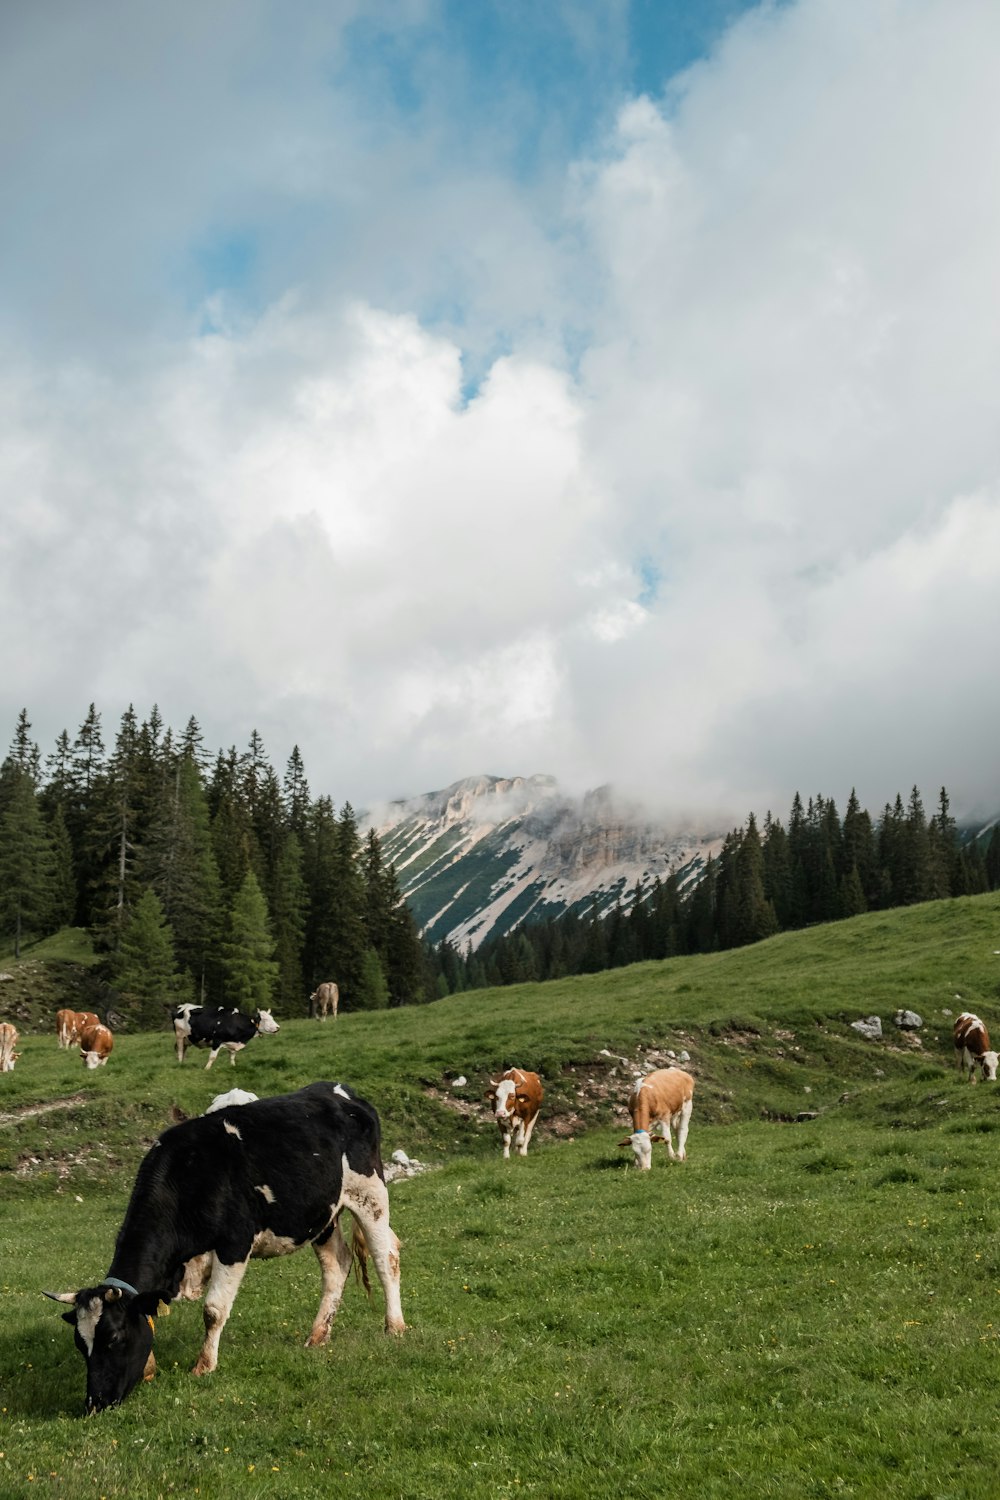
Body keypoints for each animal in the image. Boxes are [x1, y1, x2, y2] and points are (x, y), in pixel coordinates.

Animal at [43, 1086, 401, 1410]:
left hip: (370, 1195)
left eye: (114, 1338)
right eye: (80, 1344)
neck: (188, 1174)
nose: (95, 1403)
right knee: (337, 1265)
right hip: (323, 1215)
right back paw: (317, 1336)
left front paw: (204, 1366)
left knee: (386, 1257)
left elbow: (213, 1310)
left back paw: (394, 1327)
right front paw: (149, 1368)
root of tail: (342, 1093)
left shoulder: (234, 1243)